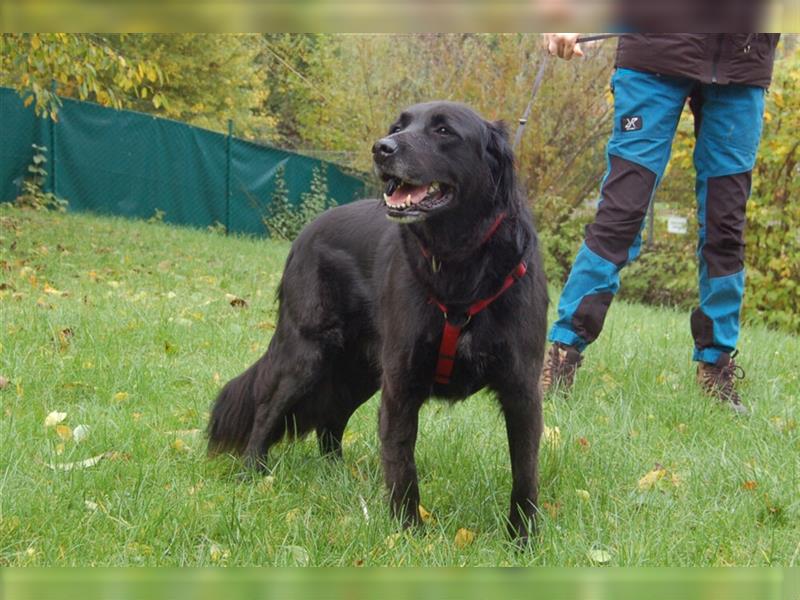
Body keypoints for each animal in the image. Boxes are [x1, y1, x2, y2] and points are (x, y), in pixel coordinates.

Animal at [209, 101, 552, 540]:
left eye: (444, 130)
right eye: (397, 126)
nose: (381, 148)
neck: (459, 265)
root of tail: (305, 233)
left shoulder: (522, 388)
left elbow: (525, 473)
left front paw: (522, 540)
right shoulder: (402, 382)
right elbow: (402, 463)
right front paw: (408, 534)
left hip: (360, 370)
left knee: (331, 419)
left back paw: (337, 474)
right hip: (308, 352)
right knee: (268, 407)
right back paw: (254, 473)